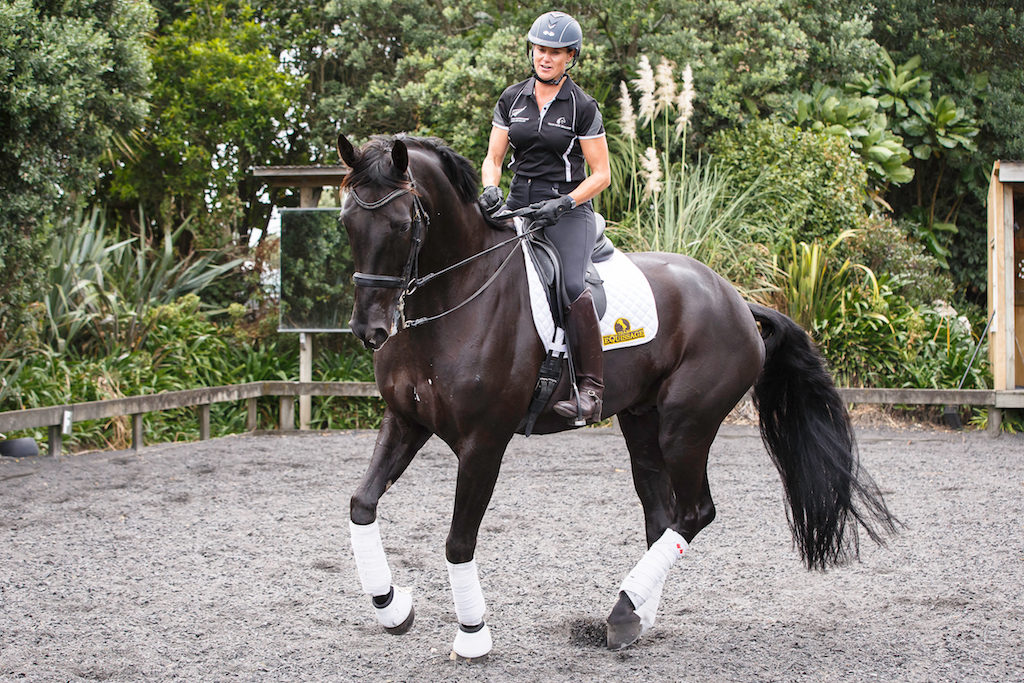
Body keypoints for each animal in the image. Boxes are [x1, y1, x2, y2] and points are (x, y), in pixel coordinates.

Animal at [337, 133, 897, 655]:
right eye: (347, 222)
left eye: (402, 225)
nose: (370, 330)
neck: (454, 297)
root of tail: (736, 299)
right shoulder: (406, 421)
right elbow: (361, 504)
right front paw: (391, 606)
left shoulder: (483, 443)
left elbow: (458, 542)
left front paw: (473, 635)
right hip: (641, 420)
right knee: (662, 517)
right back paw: (634, 616)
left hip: (686, 426)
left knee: (695, 513)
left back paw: (625, 609)